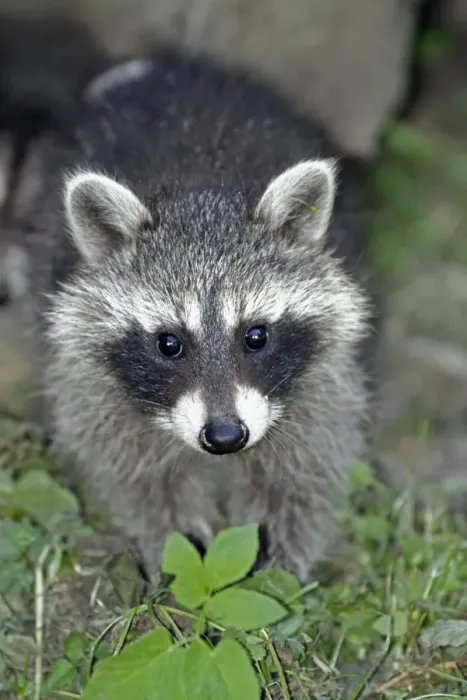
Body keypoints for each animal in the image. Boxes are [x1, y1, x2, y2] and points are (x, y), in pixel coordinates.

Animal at [25, 49, 373, 581]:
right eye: (169, 343)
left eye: (256, 336)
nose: (226, 436)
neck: (201, 198)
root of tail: (162, 65)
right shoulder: (94, 385)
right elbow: (135, 473)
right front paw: (175, 538)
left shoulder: (321, 380)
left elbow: (301, 469)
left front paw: (277, 560)